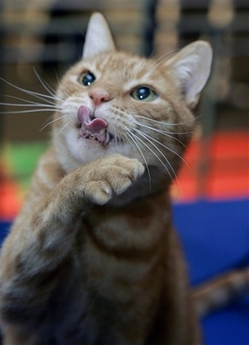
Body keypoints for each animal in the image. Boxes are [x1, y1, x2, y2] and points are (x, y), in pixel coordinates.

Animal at [0, 12, 214, 344]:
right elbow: (43, 219)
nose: (97, 95)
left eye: (143, 93)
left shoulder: (124, 326)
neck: (93, 221)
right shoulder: (15, 293)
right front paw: (96, 172)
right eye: (88, 78)